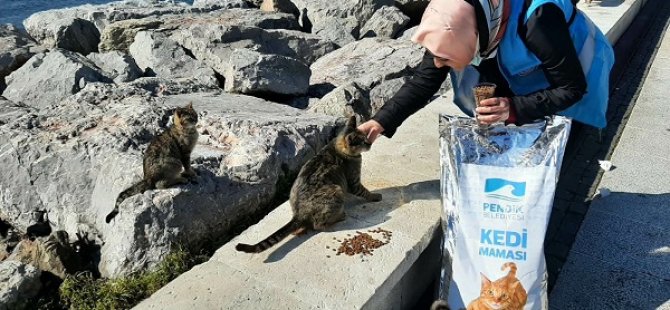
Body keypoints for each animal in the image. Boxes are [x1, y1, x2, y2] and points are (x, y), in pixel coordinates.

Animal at [236, 115, 384, 253]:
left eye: (366, 137)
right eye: (363, 141)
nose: (370, 143)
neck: (337, 147)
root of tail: (298, 214)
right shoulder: (354, 182)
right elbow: (364, 192)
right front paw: (375, 196)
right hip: (336, 190)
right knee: (319, 225)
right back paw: (339, 216)